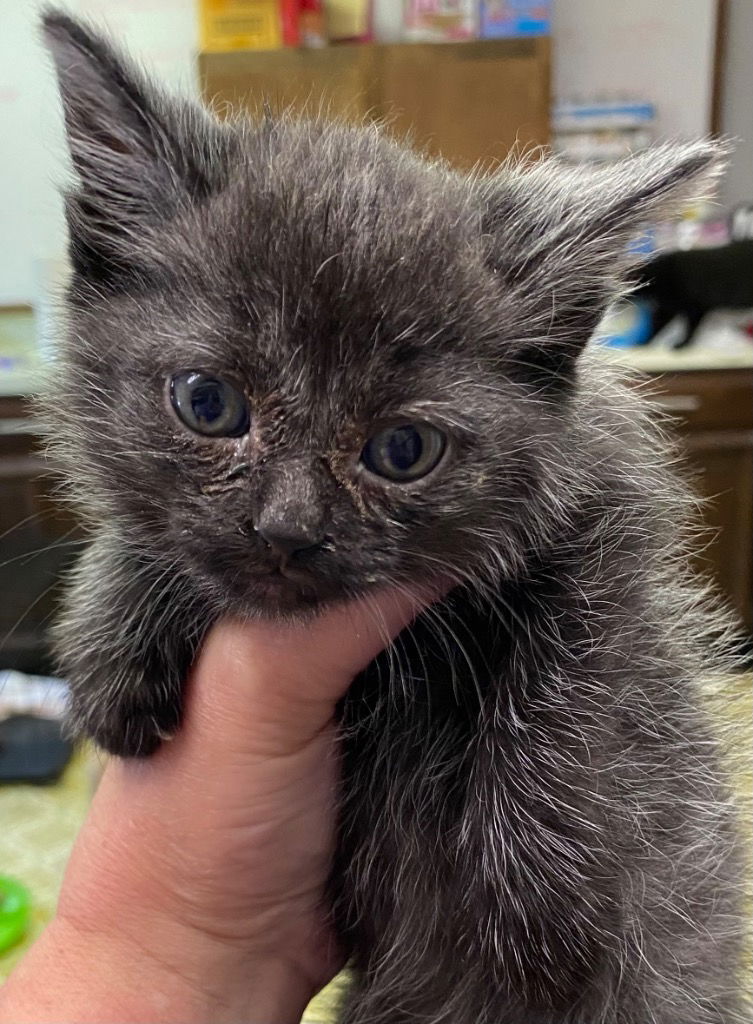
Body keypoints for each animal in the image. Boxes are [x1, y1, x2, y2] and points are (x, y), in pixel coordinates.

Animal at [41, 9, 749, 1024]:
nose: (287, 528)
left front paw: (535, 870)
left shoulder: (607, 514)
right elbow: (147, 535)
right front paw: (112, 645)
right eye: (208, 403)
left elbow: (578, 661)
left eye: (402, 451)